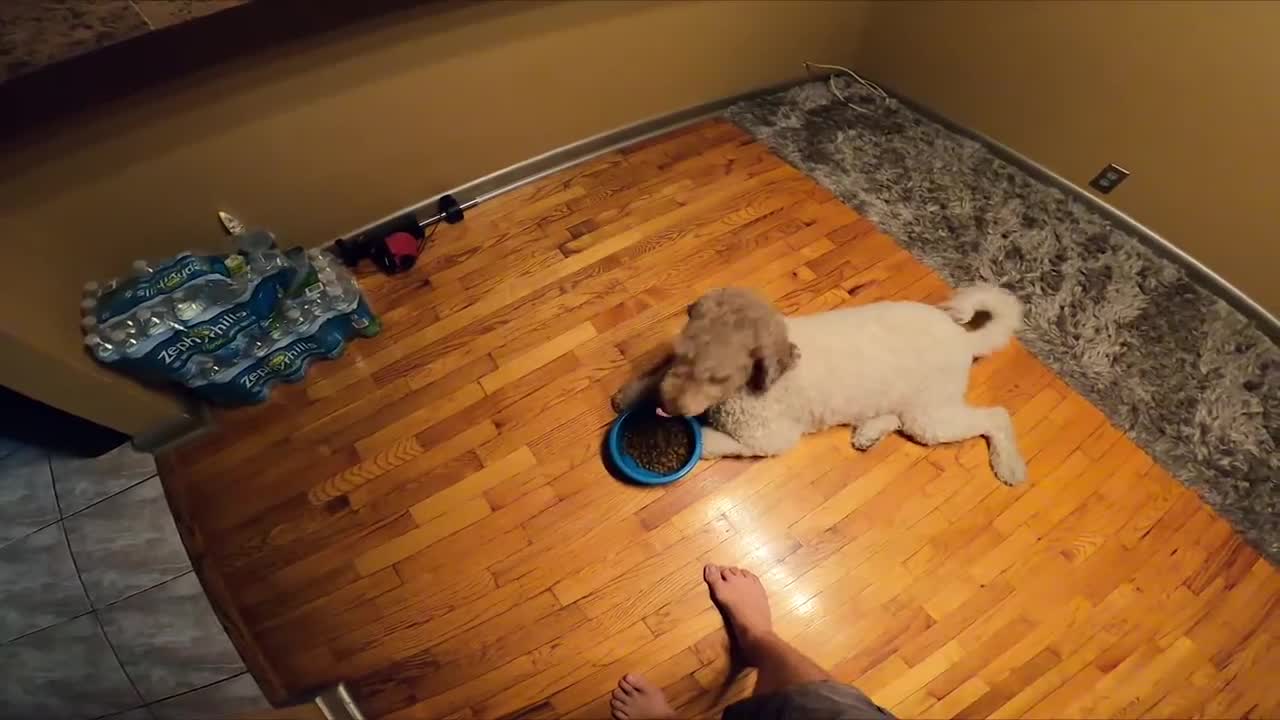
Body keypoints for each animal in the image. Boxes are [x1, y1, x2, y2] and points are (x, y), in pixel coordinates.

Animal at [611, 284, 1029, 481]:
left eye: (719, 377)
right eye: (683, 354)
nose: (668, 407)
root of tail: (962, 338)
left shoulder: (769, 438)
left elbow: (714, 442)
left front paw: (694, 444)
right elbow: (656, 375)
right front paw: (630, 394)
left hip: (930, 416)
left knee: (996, 416)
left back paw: (1009, 467)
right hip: (914, 407)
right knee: (892, 415)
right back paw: (869, 432)